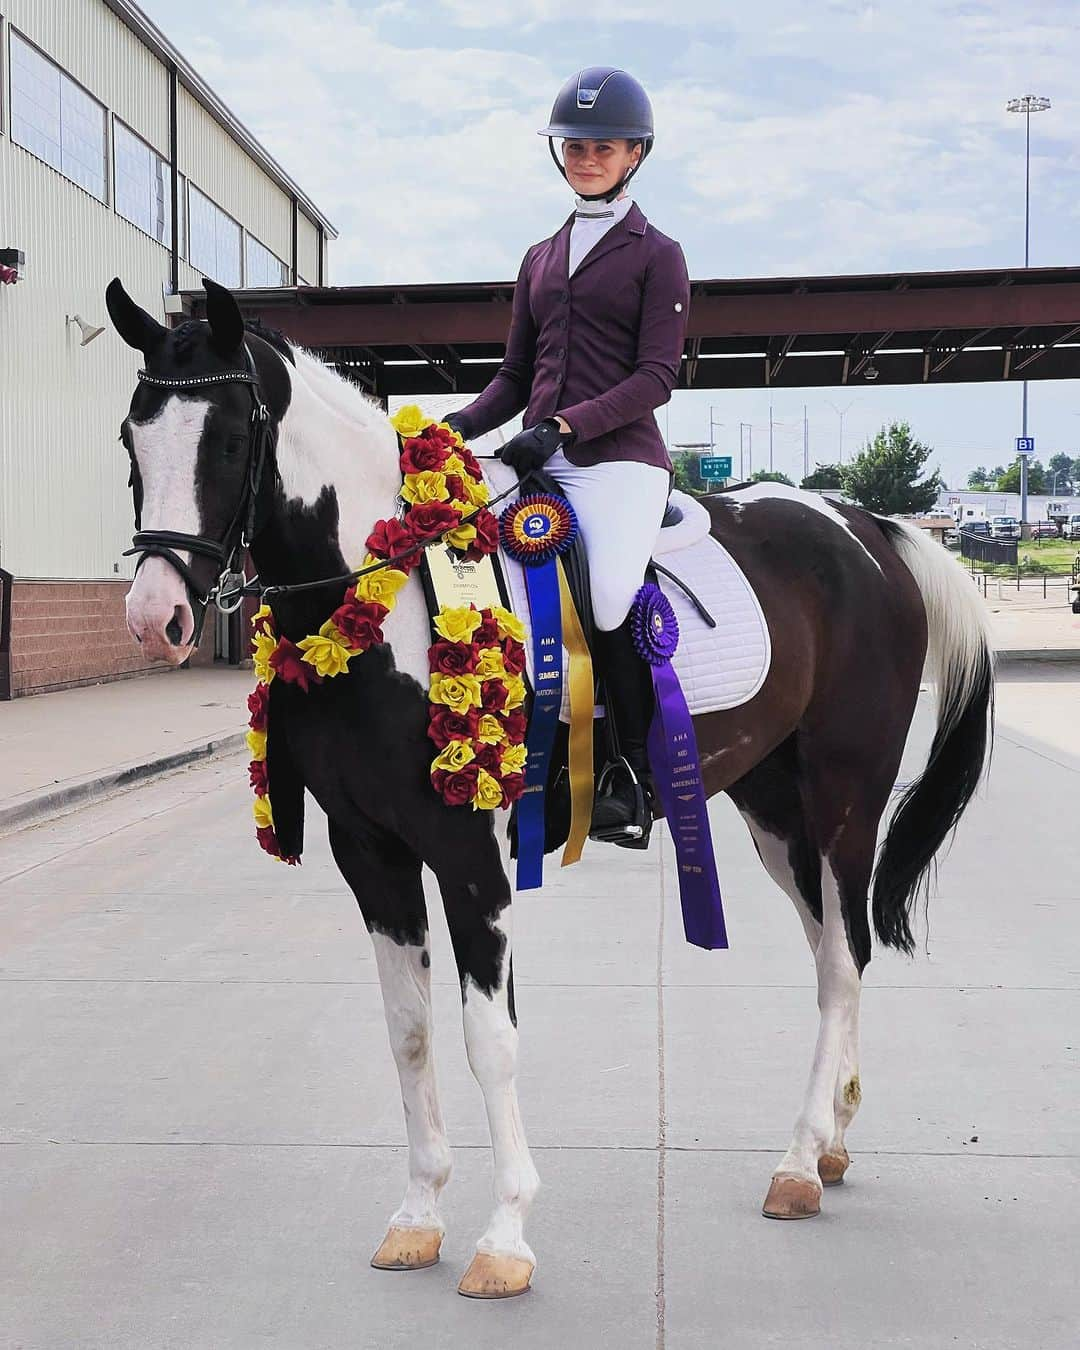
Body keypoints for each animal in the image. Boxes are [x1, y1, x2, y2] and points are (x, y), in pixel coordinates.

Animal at [105, 274, 993, 1296]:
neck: (385, 597)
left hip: (846, 799)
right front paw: (417, 1218)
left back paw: (800, 1164)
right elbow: (408, 1031)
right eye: (131, 438)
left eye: (229, 438)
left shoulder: (467, 857)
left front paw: (503, 1238)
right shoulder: (370, 854)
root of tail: (870, 531)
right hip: (775, 810)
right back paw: (834, 1140)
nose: (158, 617)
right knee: (831, 952)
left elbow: (488, 1039)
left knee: (844, 960)